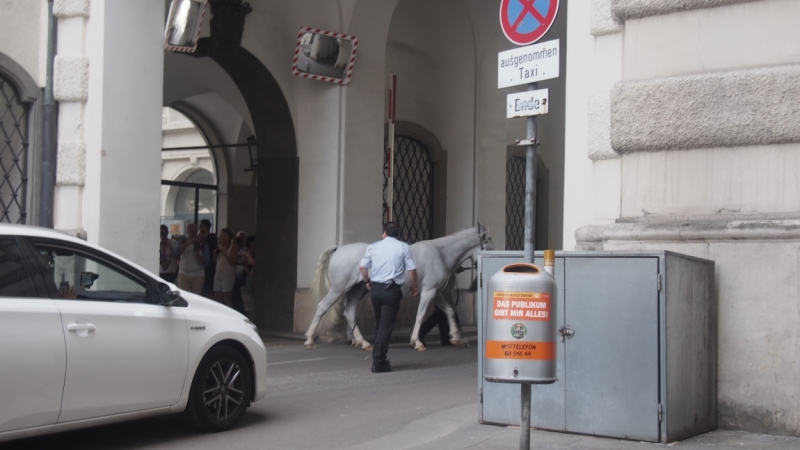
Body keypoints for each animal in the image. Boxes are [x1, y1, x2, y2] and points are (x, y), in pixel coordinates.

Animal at [304, 225, 494, 352]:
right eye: (488, 245)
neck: (440, 253)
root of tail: (339, 249)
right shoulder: (429, 292)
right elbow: (420, 315)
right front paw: (417, 341)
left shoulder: (436, 292)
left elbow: (449, 311)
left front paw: (456, 337)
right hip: (338, 289)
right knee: (322, 307)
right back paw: (310, 339)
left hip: (357, 290)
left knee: (349, 312)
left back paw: (362, 342)